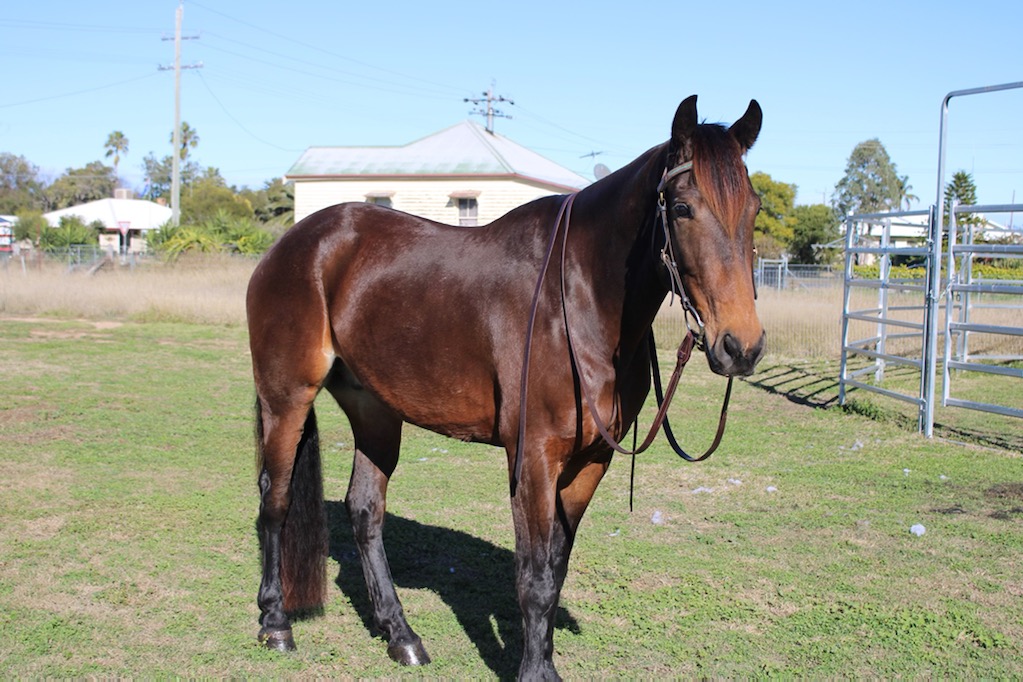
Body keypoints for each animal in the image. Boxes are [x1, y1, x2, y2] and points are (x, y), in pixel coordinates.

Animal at [246, 95, 765, 679]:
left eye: (754, 209)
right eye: (680, 208)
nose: (740, 346)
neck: (579, 299)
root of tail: (291, 244)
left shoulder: (589, 461)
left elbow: (556, 567)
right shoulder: (533, 458)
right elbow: (534, 578)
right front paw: (535, 671)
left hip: (374, 409)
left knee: (365, 511)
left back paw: (401, 635)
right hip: (286, 398)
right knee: (275, 500)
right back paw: (276, 623)